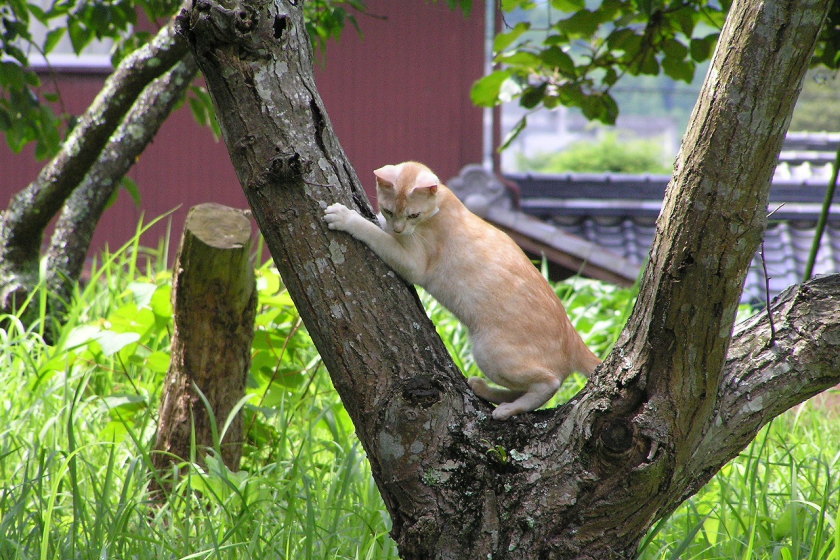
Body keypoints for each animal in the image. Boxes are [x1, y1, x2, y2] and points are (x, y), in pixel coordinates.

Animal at [324, 160, 604, 418]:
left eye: (413, 215)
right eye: (389, 210)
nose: (399, 228)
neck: (440, 206)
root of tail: (572, 337)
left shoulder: (413, 262)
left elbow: (374, 232)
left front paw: (345, 217)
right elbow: (381, 227)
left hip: (489, 352)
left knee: (549, 383)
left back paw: (505, 410)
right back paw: (486, 391)